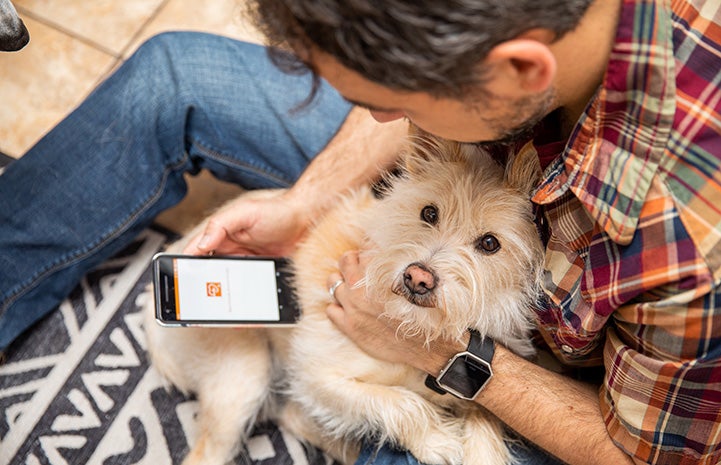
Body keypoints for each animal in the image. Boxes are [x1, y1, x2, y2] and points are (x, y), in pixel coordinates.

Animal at [145, 130, 540, 464]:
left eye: (489, 243)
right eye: (429, 213)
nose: (418, 278)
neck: (416, 330)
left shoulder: (483, 391)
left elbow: (485, 420)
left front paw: (479, 451)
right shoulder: (316, 374)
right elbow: (396, 402)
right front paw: (437, 441)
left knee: (291, 415)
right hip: (243, 376)